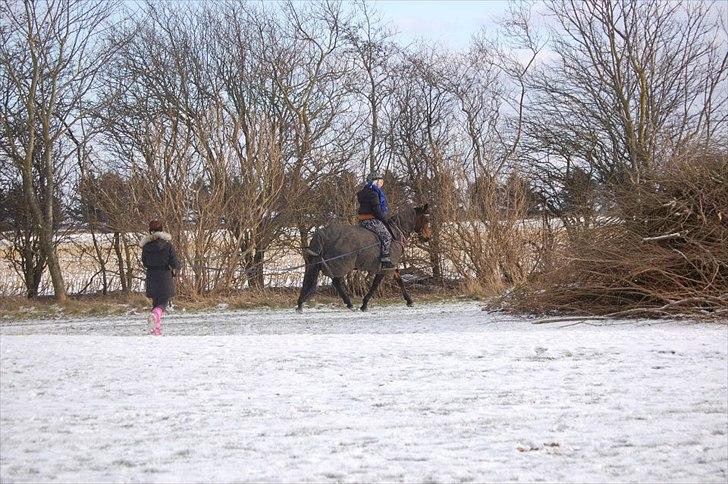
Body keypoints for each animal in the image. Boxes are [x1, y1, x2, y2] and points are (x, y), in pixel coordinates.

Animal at [298, 202, 432, 312]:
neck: (395, 234)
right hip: (339, 264)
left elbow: (399, 281)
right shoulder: (385, 267)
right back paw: (349, 304)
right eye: (426, 219)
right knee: (336, 281)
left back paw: (301, 304)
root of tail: (322, 233)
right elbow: (375, 285)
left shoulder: (391, 266)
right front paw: (364, 304)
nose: (427, 237)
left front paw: (409, 300)